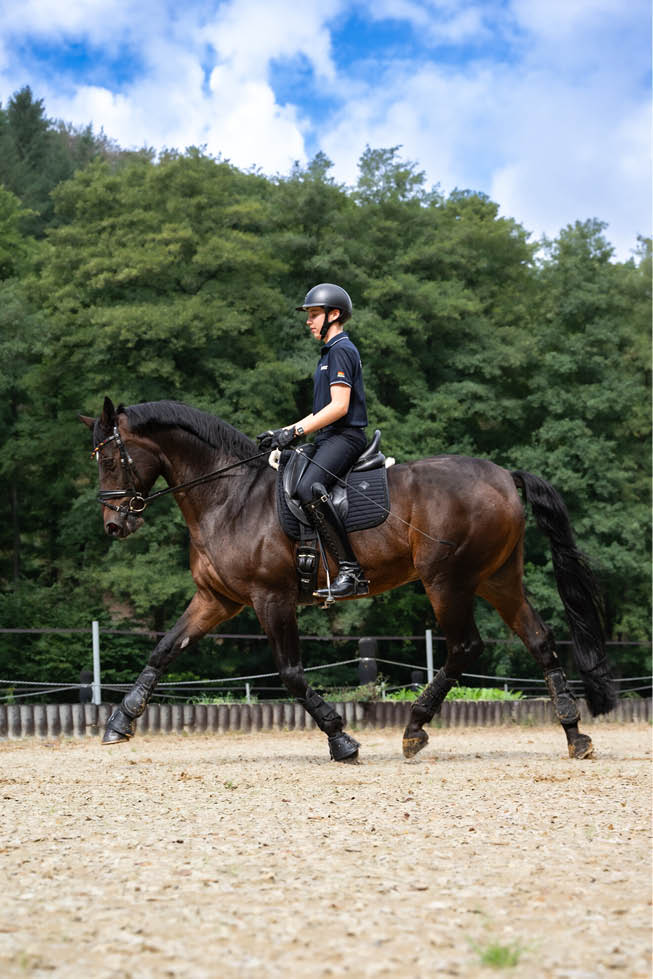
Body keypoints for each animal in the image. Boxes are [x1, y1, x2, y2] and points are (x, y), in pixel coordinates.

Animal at [80, 397, 616, 762]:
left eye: (109, 459)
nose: (114, 526)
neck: (229, 498)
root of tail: (504, 475)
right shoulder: (217, 599)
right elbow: (164, 649)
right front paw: (119, 721)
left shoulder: (271, 598)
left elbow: (291, 673)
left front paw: (340, 738)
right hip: (497, 579)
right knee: (539, 640)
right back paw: (574, 734)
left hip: (447, 580)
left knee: (465, 646)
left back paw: (415, 727)